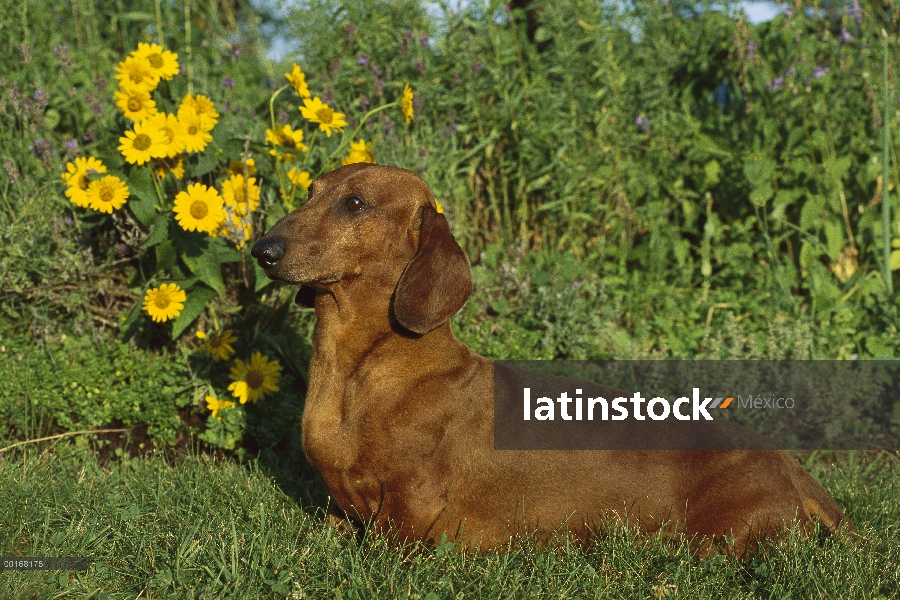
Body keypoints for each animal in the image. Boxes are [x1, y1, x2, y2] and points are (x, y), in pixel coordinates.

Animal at [253, 163, 852, 552]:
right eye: (311, 190)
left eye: (354, 203)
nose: (262, 249)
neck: (362, 370)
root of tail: (792, 466)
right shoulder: (339, 510)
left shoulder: (409, 515)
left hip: (713, 540)